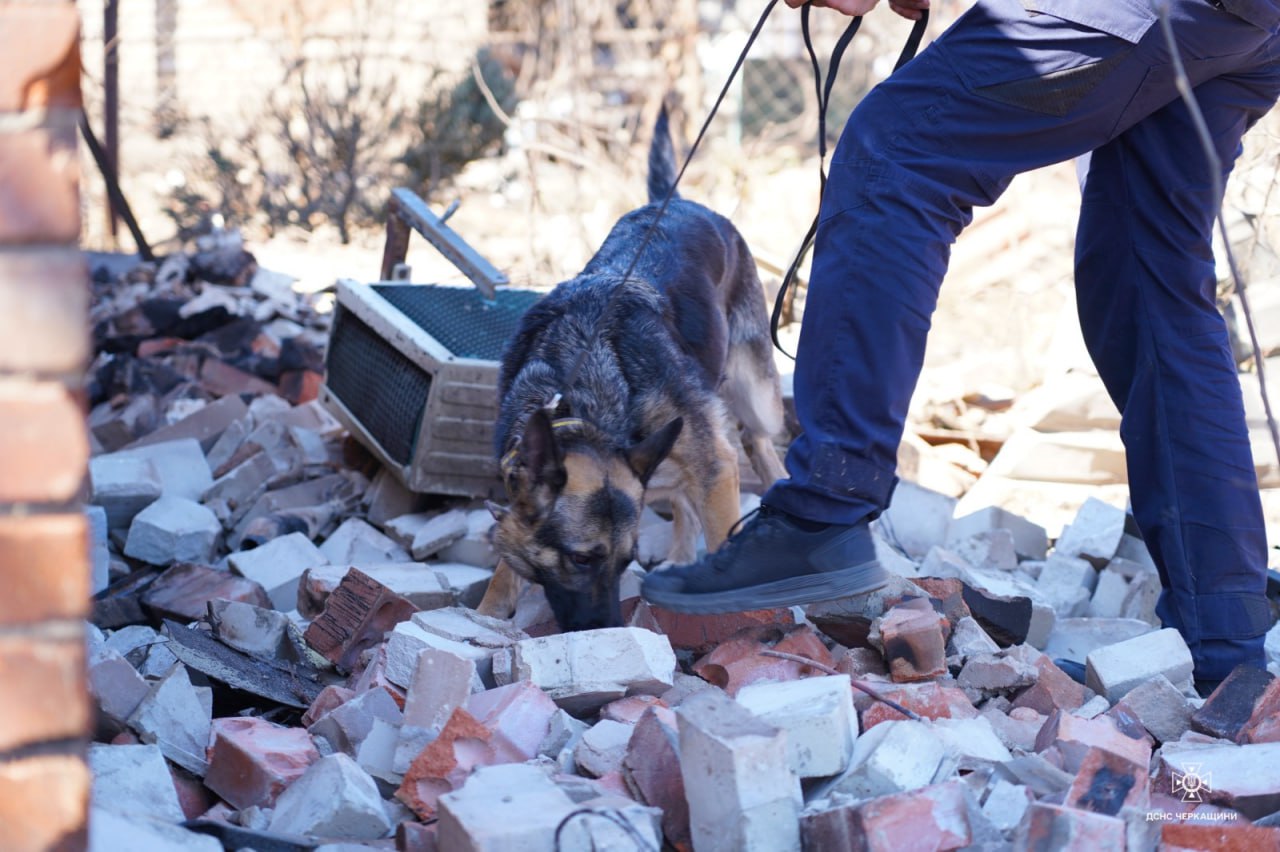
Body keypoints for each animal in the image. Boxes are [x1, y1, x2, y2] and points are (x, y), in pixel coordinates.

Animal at [481, 106, 788, 626]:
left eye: (626, 561)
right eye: (583, 559)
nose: (608, 627)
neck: (582, 390)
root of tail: (677, 201)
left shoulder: (716, 467)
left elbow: (722, 533)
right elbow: (506, 563)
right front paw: (488, 610)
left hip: (754, 398)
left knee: (761, 442)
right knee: (685, 500)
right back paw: (682, 559)